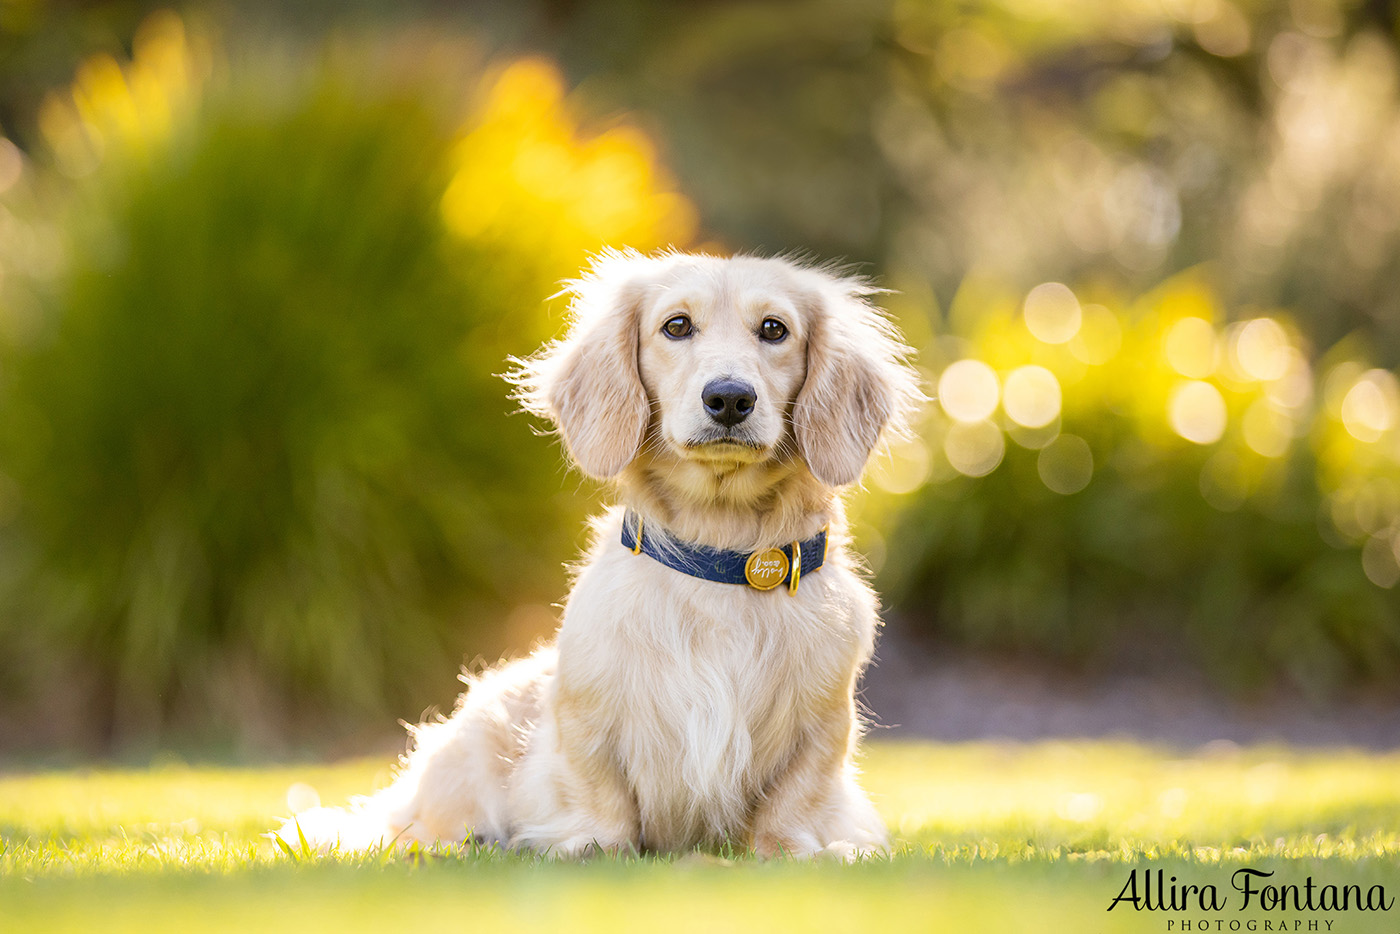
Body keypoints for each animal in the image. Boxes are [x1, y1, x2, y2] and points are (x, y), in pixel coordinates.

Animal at [278, 250, 924, 862]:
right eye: (676, 325)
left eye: (774, 329)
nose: (729, 398)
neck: (717, 557)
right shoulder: (587, 719)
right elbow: (598, 792)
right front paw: (593, 845)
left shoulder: (820, 728)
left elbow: (793, 800)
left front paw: (797, 852)